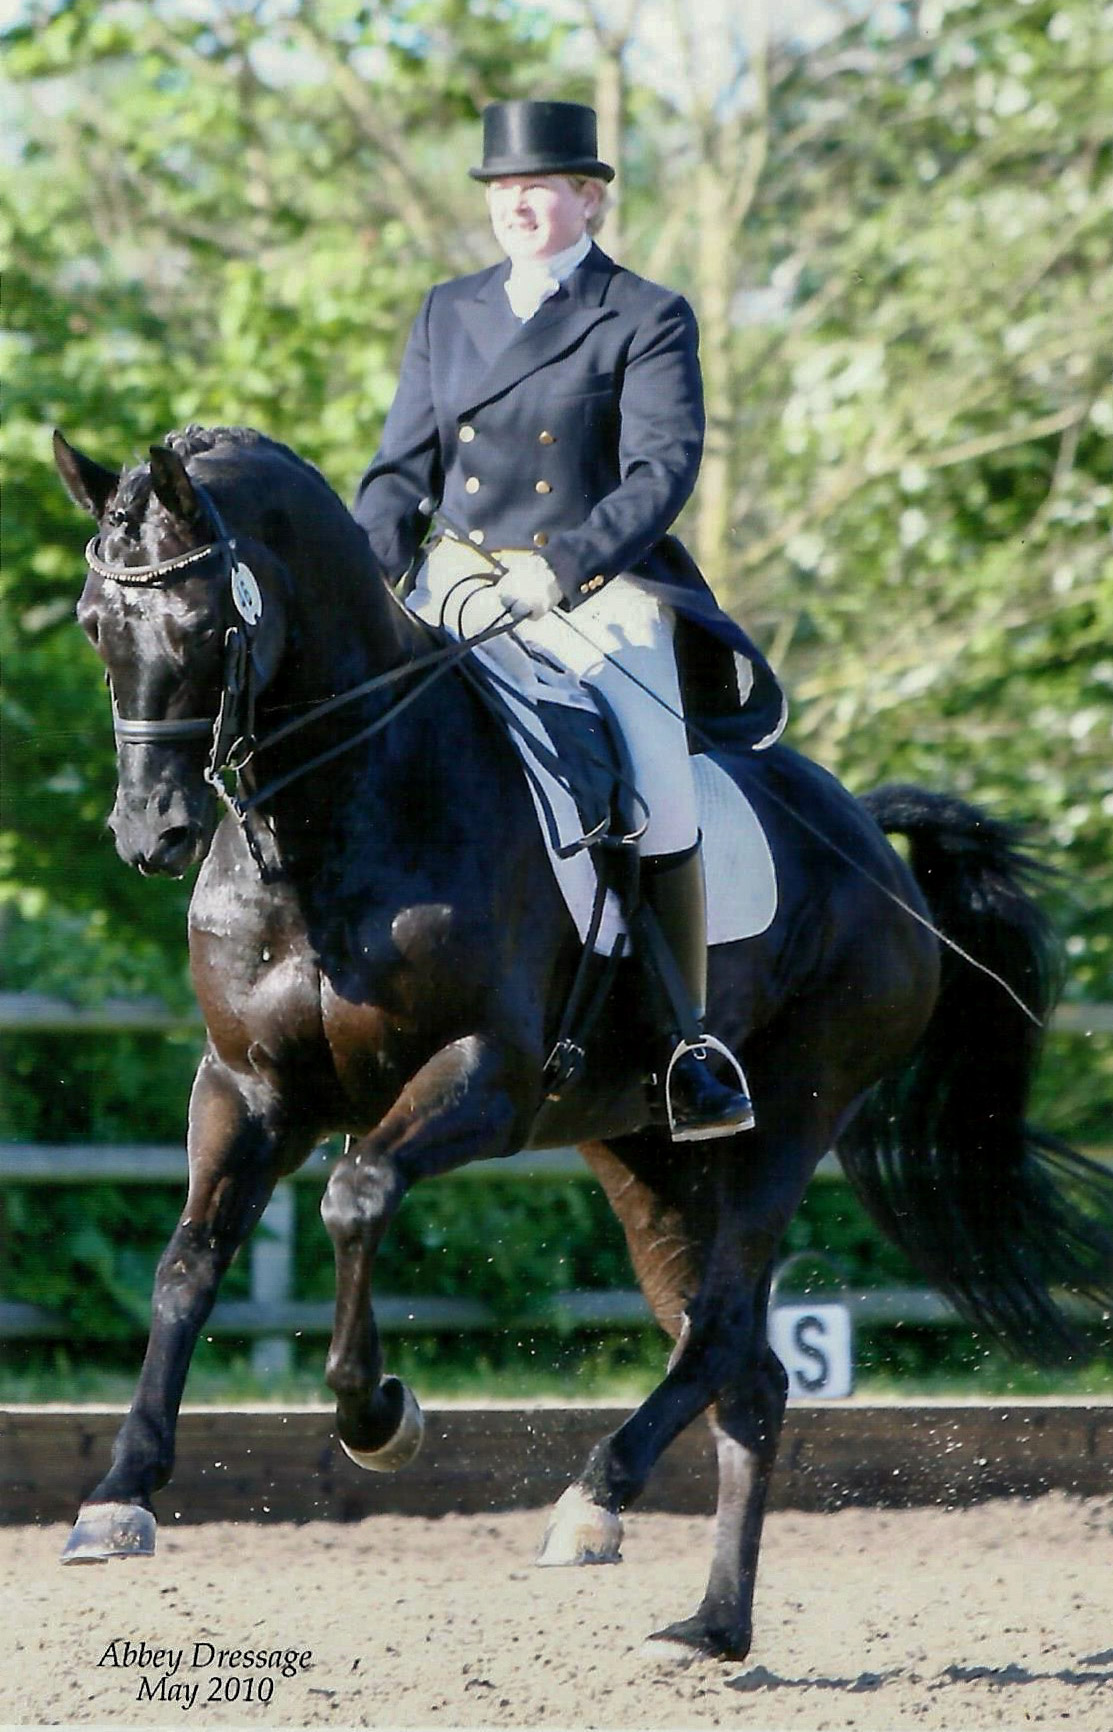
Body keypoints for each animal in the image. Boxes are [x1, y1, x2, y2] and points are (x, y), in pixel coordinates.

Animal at [54, 426, 1113, 1655]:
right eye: (94, 622)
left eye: (206, 626)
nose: (151, 833)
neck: (336, 814)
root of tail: (871, 840)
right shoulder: (245, 1087)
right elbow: (187, 1261)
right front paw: (120, 1493)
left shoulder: (487, 1077)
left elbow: (356, 1197)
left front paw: (378, 1414)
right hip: (645, 1152)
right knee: (748, 1369)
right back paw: (709, 1626)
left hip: (789, 1120)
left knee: (720, 1331)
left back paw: (595, 1498)